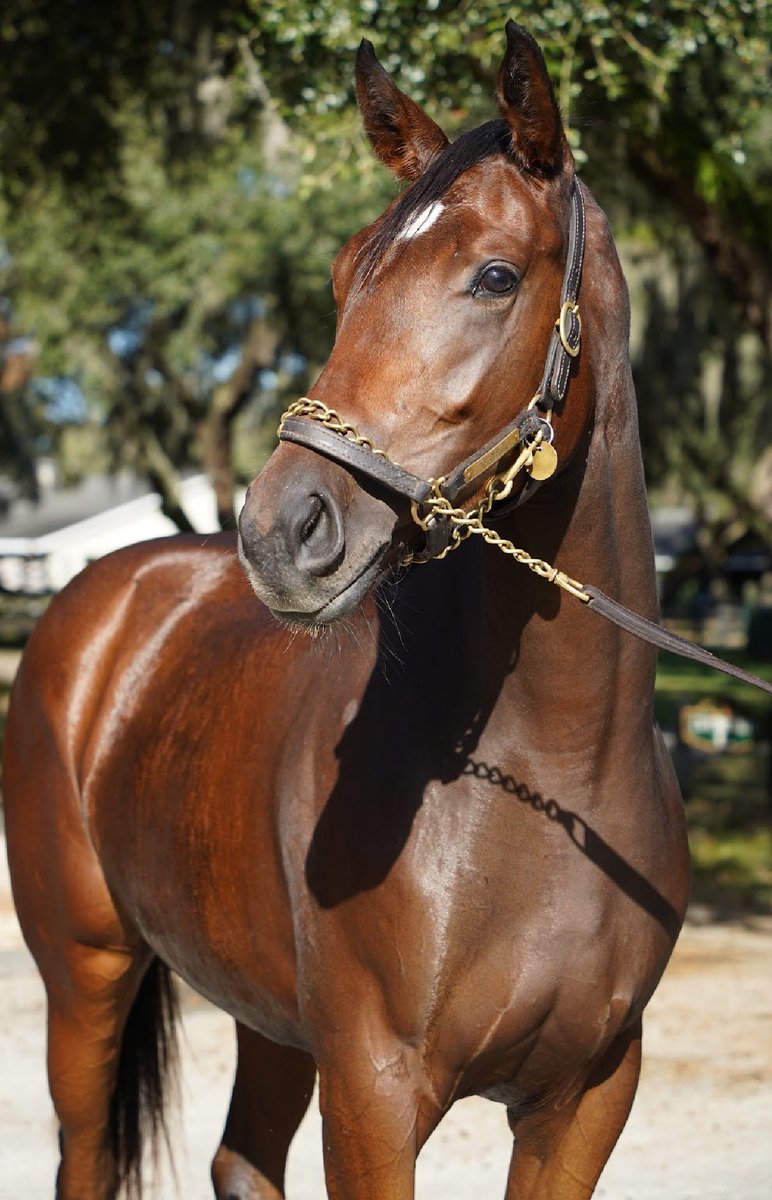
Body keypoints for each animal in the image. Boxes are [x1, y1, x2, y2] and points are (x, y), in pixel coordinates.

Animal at [4, 22, 690, 1200]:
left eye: (494, 276)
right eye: (341, 274)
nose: (283, 531)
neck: (552, 776)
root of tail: (99, 596)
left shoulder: (588, 1096)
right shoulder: (373, 1091)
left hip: (269, 1016)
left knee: (241, 1160)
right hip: (86, 976)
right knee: (86, 1156)